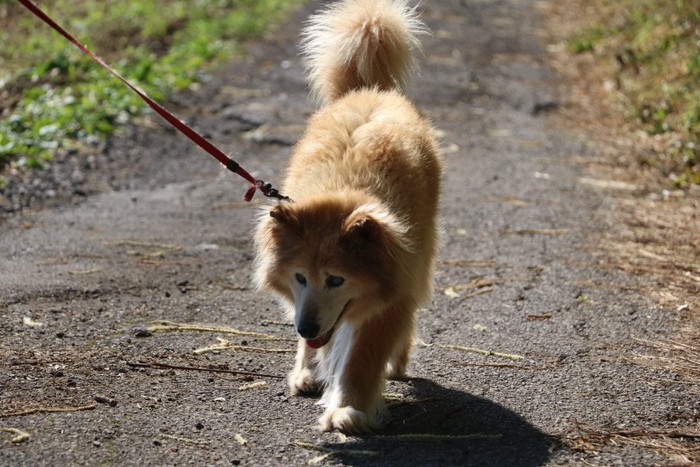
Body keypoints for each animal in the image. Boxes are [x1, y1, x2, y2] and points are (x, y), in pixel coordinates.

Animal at [256, 0, 442, 434]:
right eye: (299, 277)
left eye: (337, 280)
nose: (305, 328)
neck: (342, 192)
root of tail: (371, 89)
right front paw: (309, 368)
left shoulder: (392, 294)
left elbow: (362, 358)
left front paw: (348, 409)